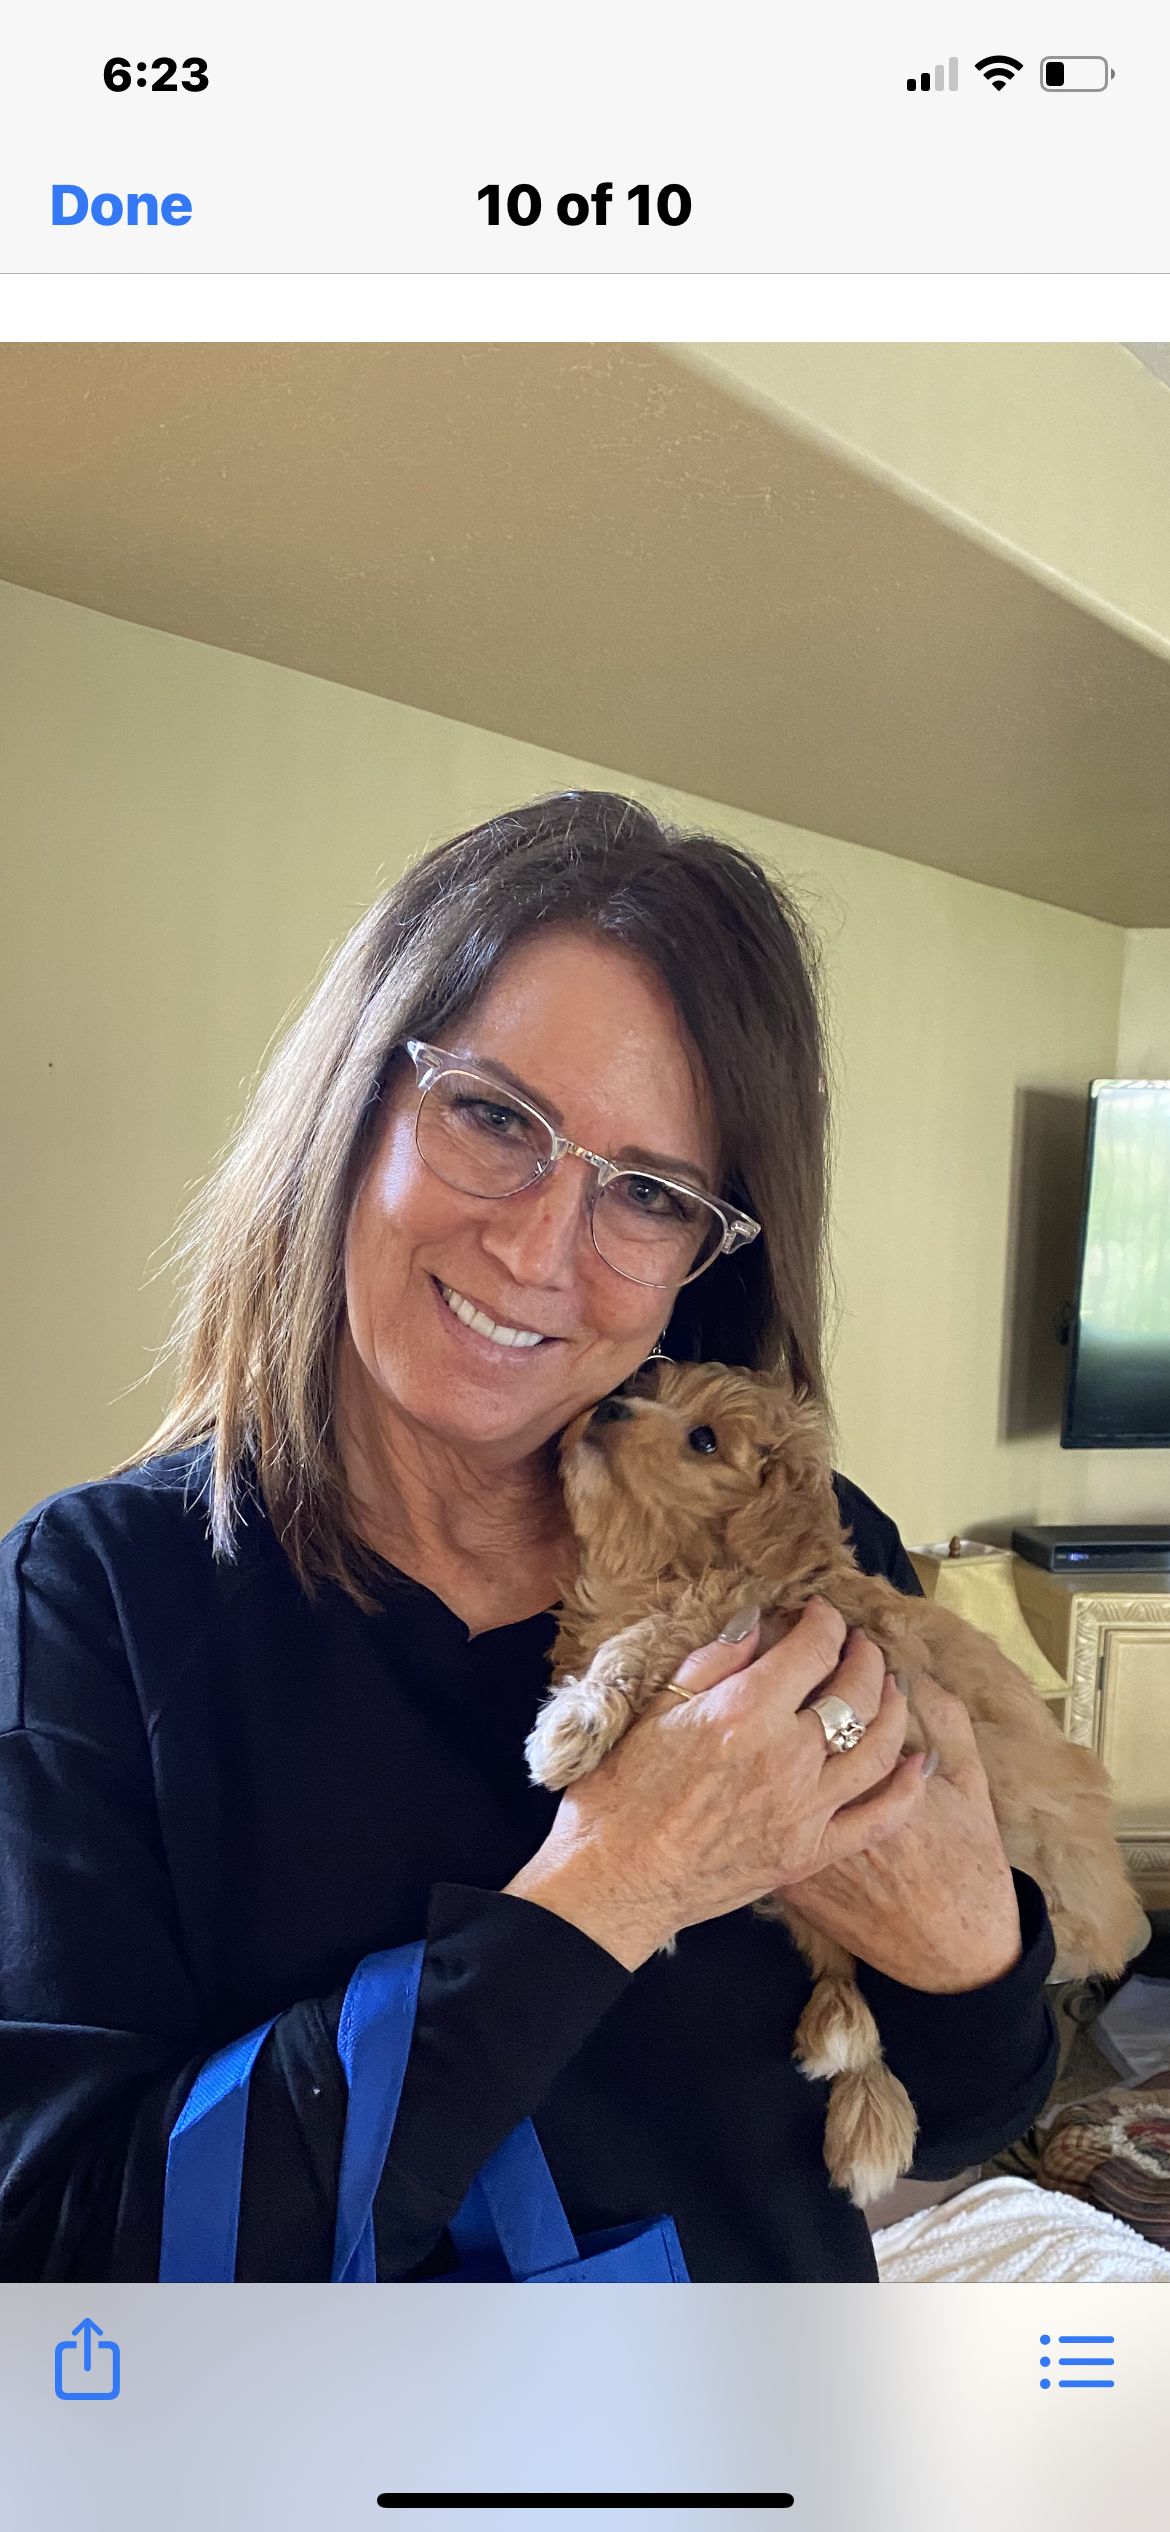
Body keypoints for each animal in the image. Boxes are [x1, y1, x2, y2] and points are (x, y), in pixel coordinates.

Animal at [526, 1359, 1147, 2206]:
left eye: (704, 1439)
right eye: (643, 1388)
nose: (611, 1406)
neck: (664, 1561)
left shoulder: (757, 1611)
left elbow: (663, 1630)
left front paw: (577, 1718)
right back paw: (848, 2057)